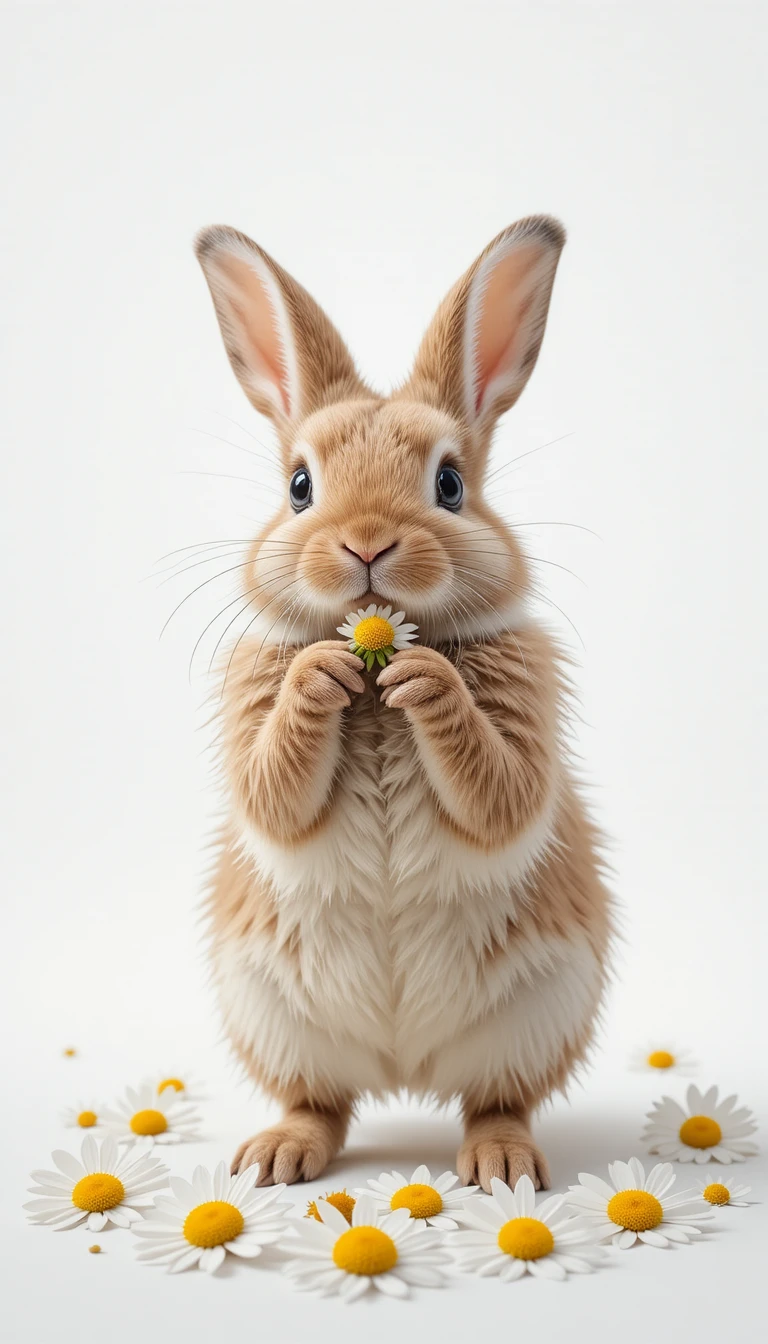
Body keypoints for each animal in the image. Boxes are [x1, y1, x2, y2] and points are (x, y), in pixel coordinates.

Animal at [195, 216, 613, 1193]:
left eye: (450, 484)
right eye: (299, 486)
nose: (367, 543)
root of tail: (403, 1067)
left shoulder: (524, 718)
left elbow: (499, 792)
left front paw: (427, 684)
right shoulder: (252, 723)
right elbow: (276, 789)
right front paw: (321, 674)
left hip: (542, 1010)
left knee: (496, 1099)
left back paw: (501, 1166)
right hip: (271, 1014)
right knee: (320, 1102)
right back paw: (275, 1158)